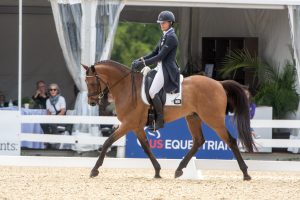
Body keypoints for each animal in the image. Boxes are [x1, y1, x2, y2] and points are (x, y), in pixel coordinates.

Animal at [82, 60, 255, 180]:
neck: (126, 88)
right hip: (193, 117)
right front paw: (158, 171)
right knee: (198, 141)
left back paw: (245, 173)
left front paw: (94, 170)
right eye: (85, 82)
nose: (91, 102)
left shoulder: (128, 124)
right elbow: (146, 146)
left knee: (231, 141)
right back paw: (179, 170)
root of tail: (219, 83)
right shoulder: (136, 126)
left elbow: (107, 142)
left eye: (92, 82)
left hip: (213, 119)